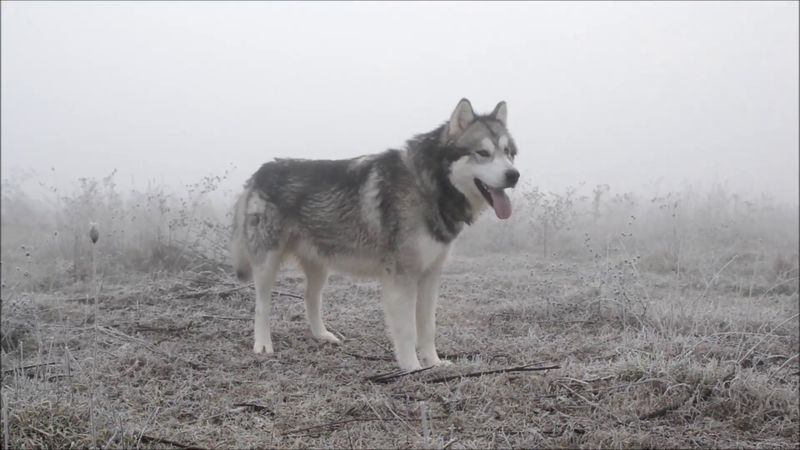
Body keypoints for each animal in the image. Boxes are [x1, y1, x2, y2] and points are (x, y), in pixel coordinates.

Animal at [231, 99, 520, 371]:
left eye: (508, 153)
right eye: (483, 152)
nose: (514, 175)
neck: (428, 186)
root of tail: (259, 172)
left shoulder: (430, 276)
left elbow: (428, 329)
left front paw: (434, 364)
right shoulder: (402, 280)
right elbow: (407, 332)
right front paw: (412, 369)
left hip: (320, 268)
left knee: (310, 299)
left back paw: (322, 335)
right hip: (267, 265)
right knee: (261, 306)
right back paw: (263, 345)